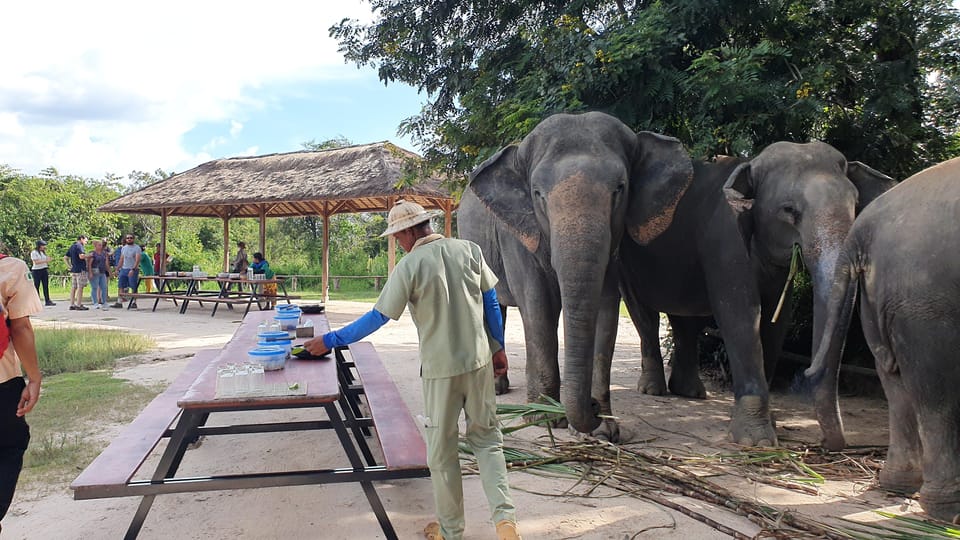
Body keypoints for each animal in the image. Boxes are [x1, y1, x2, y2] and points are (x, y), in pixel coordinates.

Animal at [462, 110, 692, 438]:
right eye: (538, 194)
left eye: (620, 188)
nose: (592, 407)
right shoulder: (518, 234)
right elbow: (538, 305)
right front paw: (544, 418)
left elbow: (605, 308)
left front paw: (604, 430)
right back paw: (498, 390)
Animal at [620, 141, 896, 446]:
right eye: (789, 210)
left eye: (856, 205)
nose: (826, 444)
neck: (751, 162)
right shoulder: (725, 241)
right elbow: (741, 312)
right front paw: (757, 441)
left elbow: (776, 321)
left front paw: (770, 424)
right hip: (627, 259)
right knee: (644, 315)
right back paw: (653, 389)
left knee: (686, 321)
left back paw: (690, 392)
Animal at [808, 156, 960, 524]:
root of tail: (864, 227)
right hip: (924, 300)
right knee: (935, 391)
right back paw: (946, 513)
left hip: (887, 298)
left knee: (895, 380)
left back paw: (897, 487)